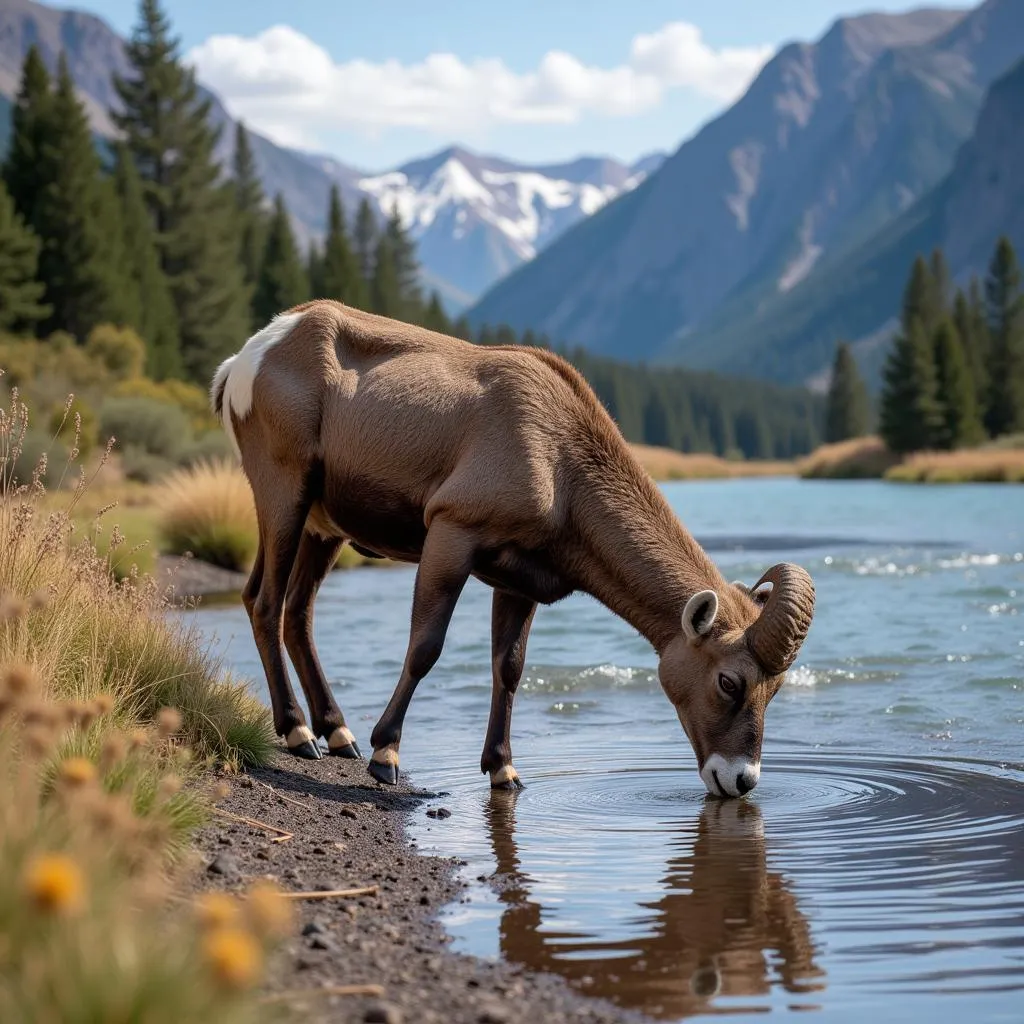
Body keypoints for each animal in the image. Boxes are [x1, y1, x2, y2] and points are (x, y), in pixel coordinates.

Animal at [209, 299, 815, 794]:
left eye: (775, 689)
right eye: (729, 681)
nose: (739, 780)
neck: (560, 464)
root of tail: (245, 360)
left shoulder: (518, 582)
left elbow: (510, 667)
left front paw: (503, 769)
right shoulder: (451, 535)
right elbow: (425, 647)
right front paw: (386, 757)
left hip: (324, 529)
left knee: (297, 613)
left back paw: (337, 734)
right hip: (285, 494)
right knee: (263, 601)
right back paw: (298, 734)